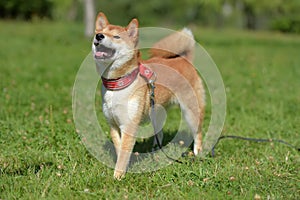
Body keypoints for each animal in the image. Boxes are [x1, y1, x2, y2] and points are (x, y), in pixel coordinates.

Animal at [92, 12, 204, 180]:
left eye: (116, 37)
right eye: (101, 32)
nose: (98, 36)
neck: (118, 85)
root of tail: (185, 60)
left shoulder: (129, 126)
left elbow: (123, 153)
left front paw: (118, 176)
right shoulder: (113, 125)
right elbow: (120, 150)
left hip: (190, 111)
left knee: (198, 132)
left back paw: (197, 152)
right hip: (156, 113)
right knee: (160, 133)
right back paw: (156, 151)